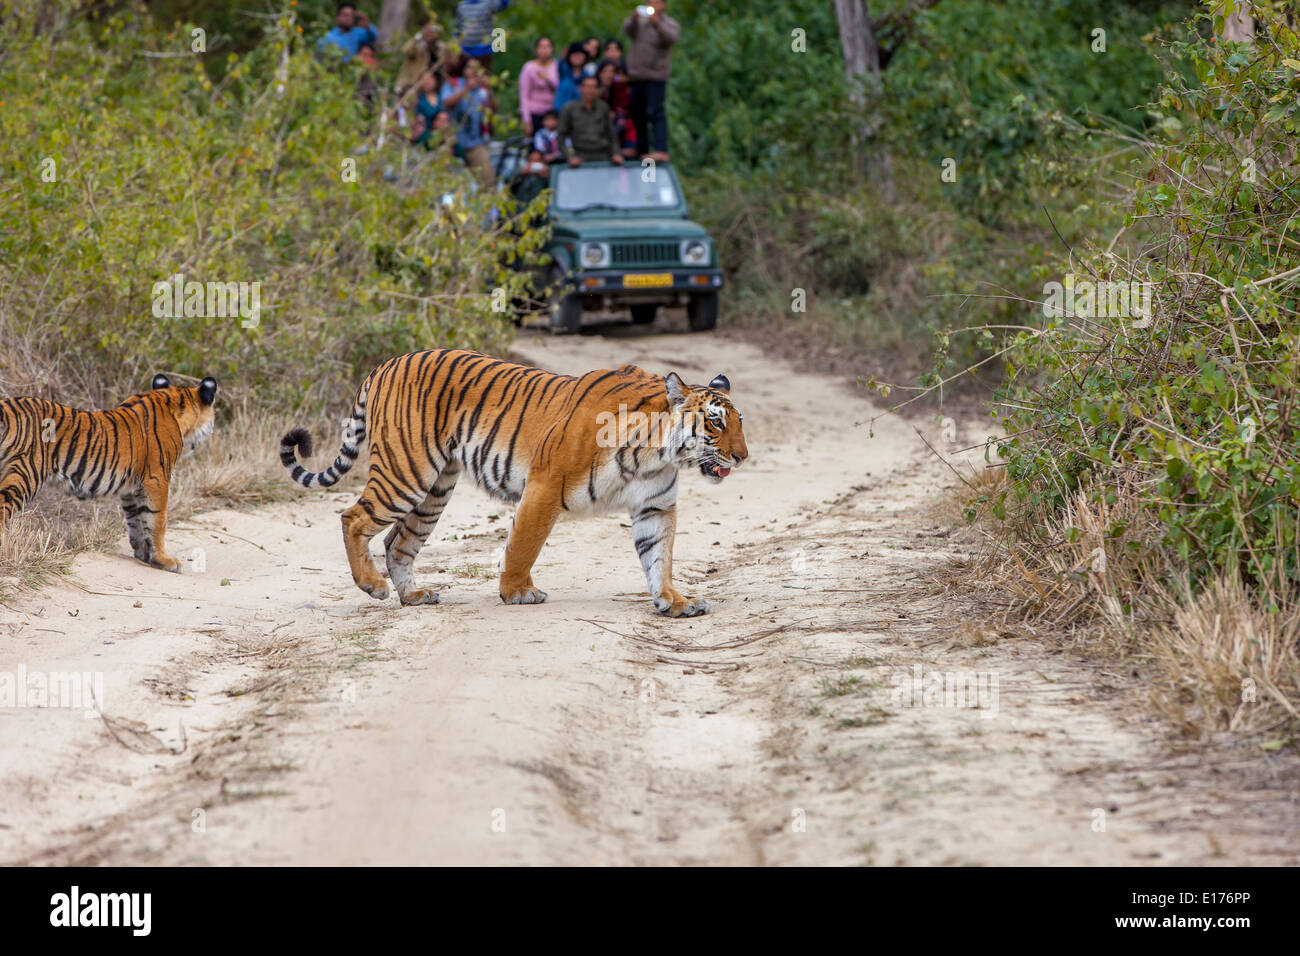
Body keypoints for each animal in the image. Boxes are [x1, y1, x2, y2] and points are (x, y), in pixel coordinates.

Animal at [0, 374, 218, 567]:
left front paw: (143, 554)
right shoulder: (157, 479)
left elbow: (136, 520)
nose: (213, 428)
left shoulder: (132, 488)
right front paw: (164, 561)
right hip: (25, 474)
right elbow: (157, 520)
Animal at [279, 348, 748, 616]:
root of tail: (385, 364)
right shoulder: (545, 486)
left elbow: (659, 557)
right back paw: (372, 585)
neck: (656, 453)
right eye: (715, 421)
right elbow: (524, 545)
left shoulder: (655, 506)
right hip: (406, 472)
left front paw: (675, 602)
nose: (743, 456)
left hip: (435, 489)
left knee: (398, 541)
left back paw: (414, 596)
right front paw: (517, 592)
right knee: (353, 518)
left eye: (739, 421)